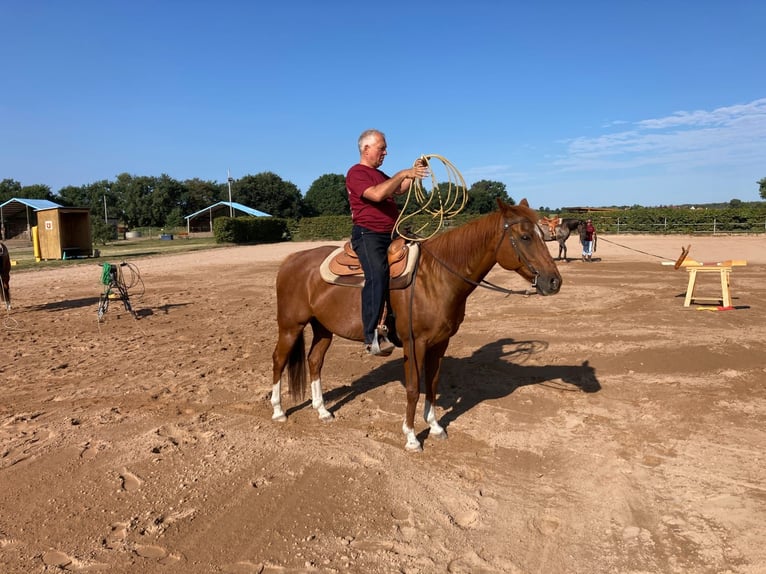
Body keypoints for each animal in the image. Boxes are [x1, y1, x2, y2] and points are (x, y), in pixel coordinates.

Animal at [272, 200, 564, 452]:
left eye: (542, 234)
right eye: (525, 237)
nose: (554, 281)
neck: (435, 277)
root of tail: (291, 260)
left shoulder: (440, 343)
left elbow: (432, 384)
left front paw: (435, 426)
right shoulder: (415, 343)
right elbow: (413, 388)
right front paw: (412, 437)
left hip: (323, 328)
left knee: (314, 361)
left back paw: (322, 410)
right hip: (290, 326)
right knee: (279, 360)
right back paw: (278, 410)